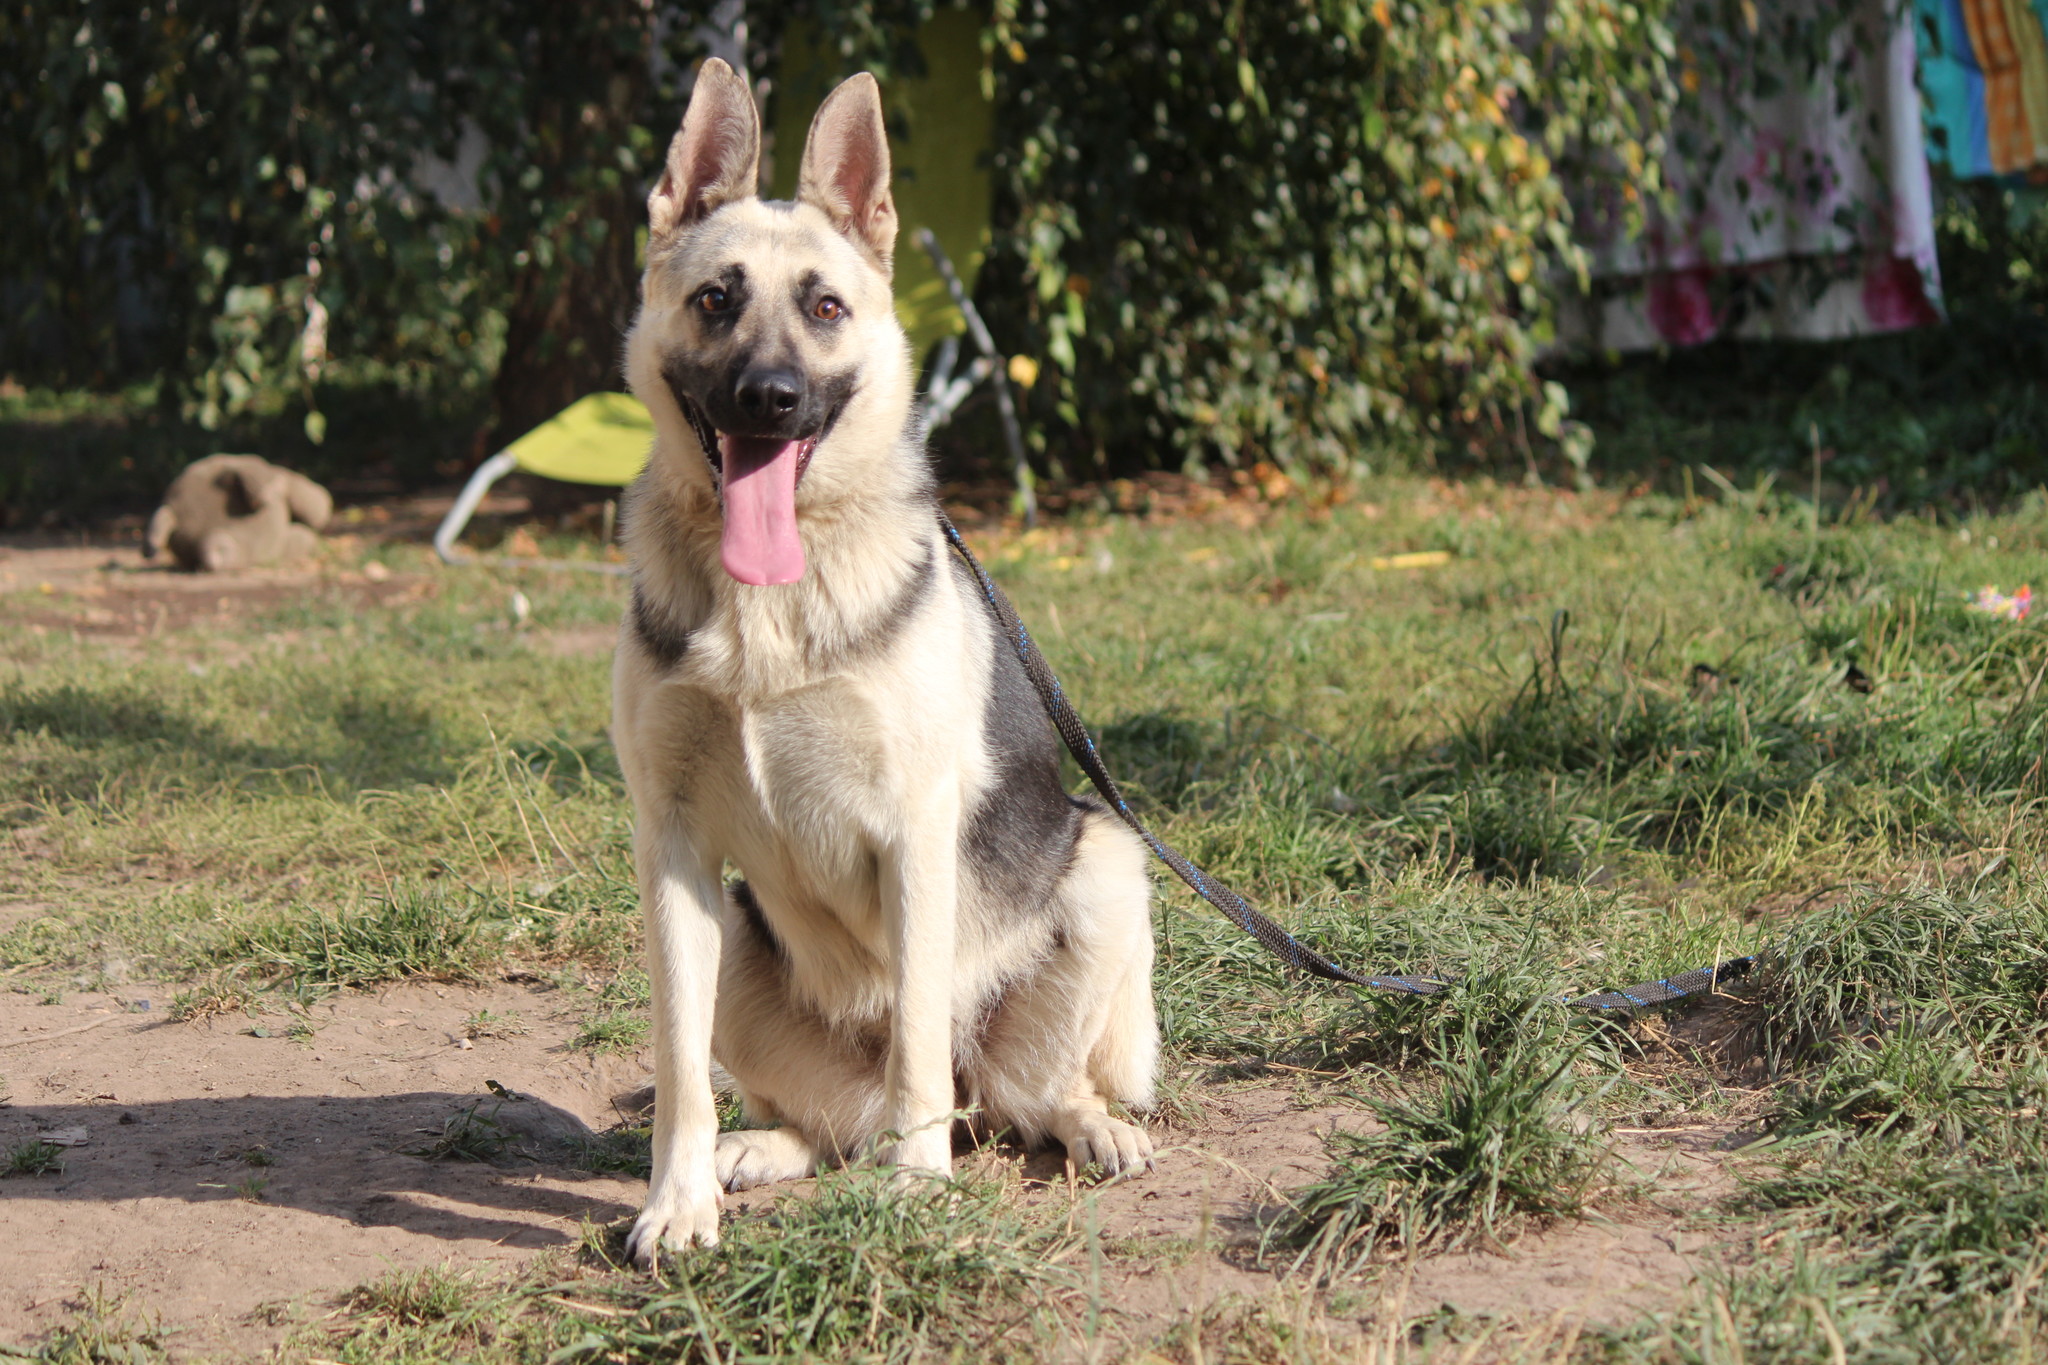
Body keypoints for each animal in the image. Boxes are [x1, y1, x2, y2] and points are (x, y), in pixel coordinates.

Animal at [606, 58, 1163, 1268]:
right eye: (715, 299)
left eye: (825, 308)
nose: (769, 398)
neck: (772, 605)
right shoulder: (672, 852)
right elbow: (678, 1071)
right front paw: (678, 1200)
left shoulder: (913, 835)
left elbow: (912, 1035)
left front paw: (919, 1191)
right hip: (742, 950)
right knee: (826, 1123)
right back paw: (763, 1149)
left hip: (1105, 866)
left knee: (1017, 1093)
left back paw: (1082, 1129)